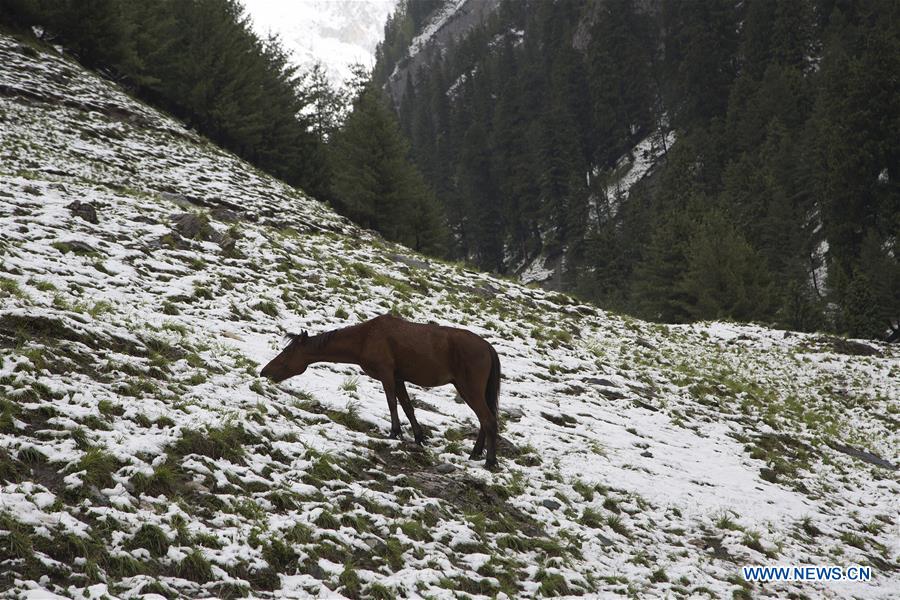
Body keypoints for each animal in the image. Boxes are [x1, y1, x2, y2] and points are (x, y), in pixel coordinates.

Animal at [260, 314, 502, 468]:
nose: (264, 372)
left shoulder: (387, 374)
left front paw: (394, 432)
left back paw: (490, 461)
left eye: (287, 352)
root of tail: (488, 347)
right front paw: (419, 436)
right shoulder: (398, 377)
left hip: (469, 387)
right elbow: (407, 406)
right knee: (484, 419)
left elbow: (392, 403)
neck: (364, 338)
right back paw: (475, 453)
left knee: (488, 420)